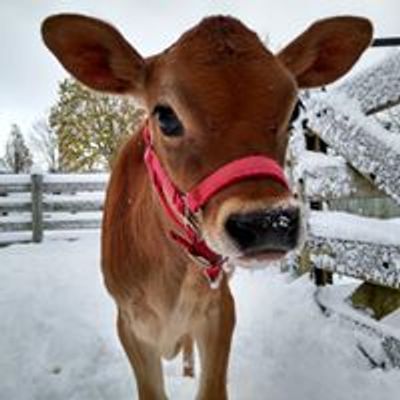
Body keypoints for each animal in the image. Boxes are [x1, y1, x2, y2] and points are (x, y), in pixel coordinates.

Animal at [41, 14, 372, 398]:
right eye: (165, 116)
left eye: (294, 113)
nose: (267, 222)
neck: (170, 272)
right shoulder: (130, 323)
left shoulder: (219, 309)